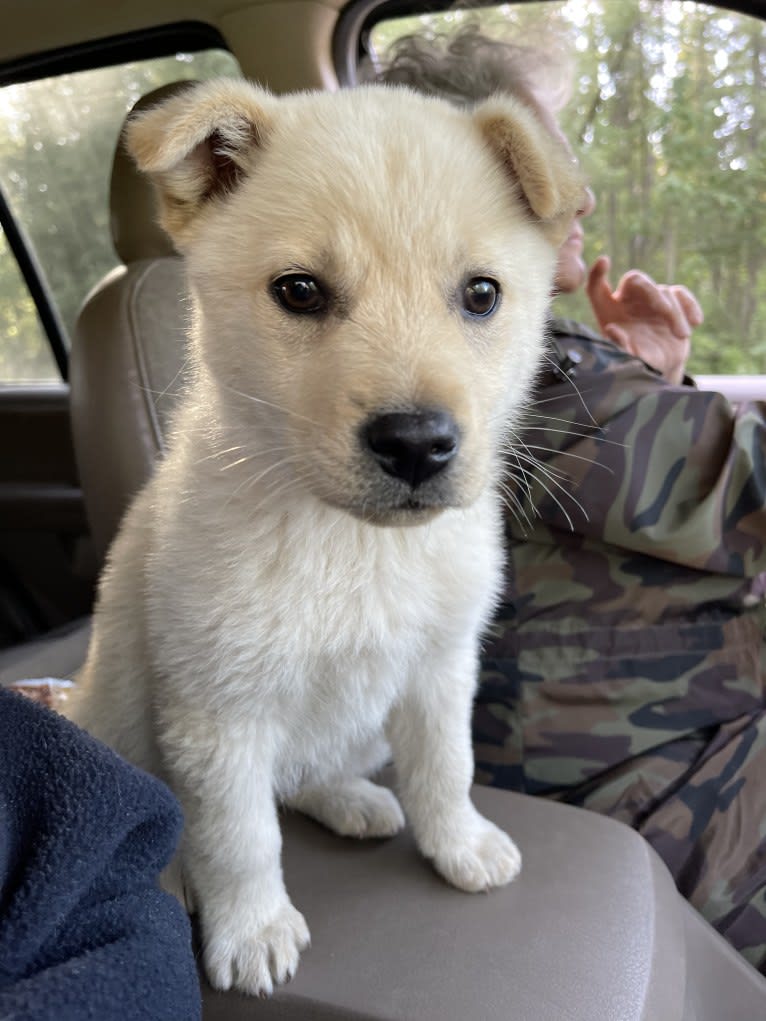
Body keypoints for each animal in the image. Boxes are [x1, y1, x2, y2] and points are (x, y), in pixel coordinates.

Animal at [70, 81, 580, 996]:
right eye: (300, 291)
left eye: (481, 294)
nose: (416, 444)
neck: (353, 544)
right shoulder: (217, 712)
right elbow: (239, 837)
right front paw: (250, 928)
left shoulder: (441, 669)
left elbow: (446, 767)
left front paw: (460, 844)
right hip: (117, 725)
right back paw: (178, 875)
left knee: (306, 777)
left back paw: (351, 799)